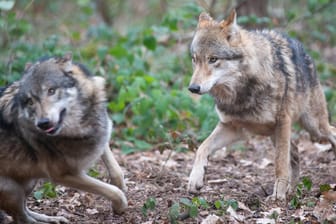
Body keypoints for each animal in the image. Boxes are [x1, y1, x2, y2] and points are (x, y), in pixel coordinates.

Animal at [0, 53, 127, 223]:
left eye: (51, 91)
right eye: (30, 101)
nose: (43, 123)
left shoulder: (101, 133)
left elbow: (116, 171)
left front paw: (121, 186)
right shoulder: (64, 175)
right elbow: (112, 191)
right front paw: (119, 205)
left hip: (28, 183)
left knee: (24, 211)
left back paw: (52, 219)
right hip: (12, 190)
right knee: (21, 218)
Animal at [186, 10, 336, 200]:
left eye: (213, 59)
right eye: (194, 59)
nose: (193, 88)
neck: (240, 93)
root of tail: (304, 51)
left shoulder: (283, 122)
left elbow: (280, 163)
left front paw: (278, 195)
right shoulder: (232, 127)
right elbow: (202, 147)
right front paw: (195, 179)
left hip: (313, 127)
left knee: (330, 132)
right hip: (276, 134)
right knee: (295, 152)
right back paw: (292, 190)